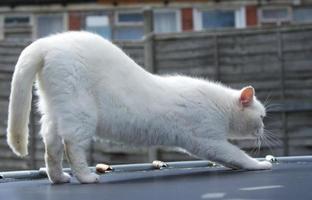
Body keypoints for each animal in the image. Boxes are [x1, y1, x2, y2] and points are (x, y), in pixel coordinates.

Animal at [6, 31, 272, 184]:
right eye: (262, 117)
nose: (263, 130)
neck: (222, 107)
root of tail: (46, 43)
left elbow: (230, 158)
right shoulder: (208, 141)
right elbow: (237, 155)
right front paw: (259, 164)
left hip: (53, 111)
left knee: (51, 147)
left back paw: (59, 178)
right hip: (80, 113)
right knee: (72, 146)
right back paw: (86, 177)